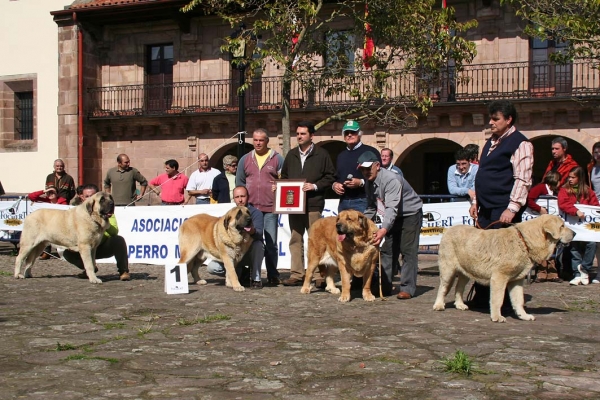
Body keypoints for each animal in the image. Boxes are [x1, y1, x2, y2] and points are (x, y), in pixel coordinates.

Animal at [434, 216, 576, 322]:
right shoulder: (499, 278)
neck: (524, 241)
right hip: (448, 270)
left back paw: (459, 304)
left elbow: (519, 300)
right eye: (562, 226)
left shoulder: (517, 280)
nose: (575, 233)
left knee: (459, 287)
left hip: (467, 271)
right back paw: (439, 305)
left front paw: (523, 316)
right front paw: (497, 317)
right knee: (443, 288)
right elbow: (498, 299)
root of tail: (449, 229)